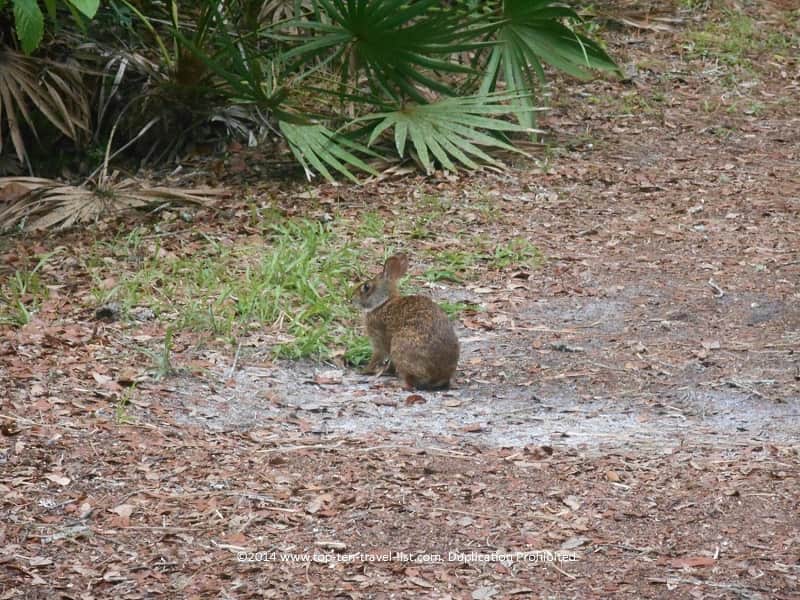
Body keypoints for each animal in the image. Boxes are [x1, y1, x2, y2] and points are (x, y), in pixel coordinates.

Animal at [353, 253, 459, 390]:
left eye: (366, 287)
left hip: (400, 347)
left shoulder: (378, 340)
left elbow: (377, 357)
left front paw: (364, 371)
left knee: (409, 382)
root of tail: (438, 376)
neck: (383, 303)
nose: (352, 298)